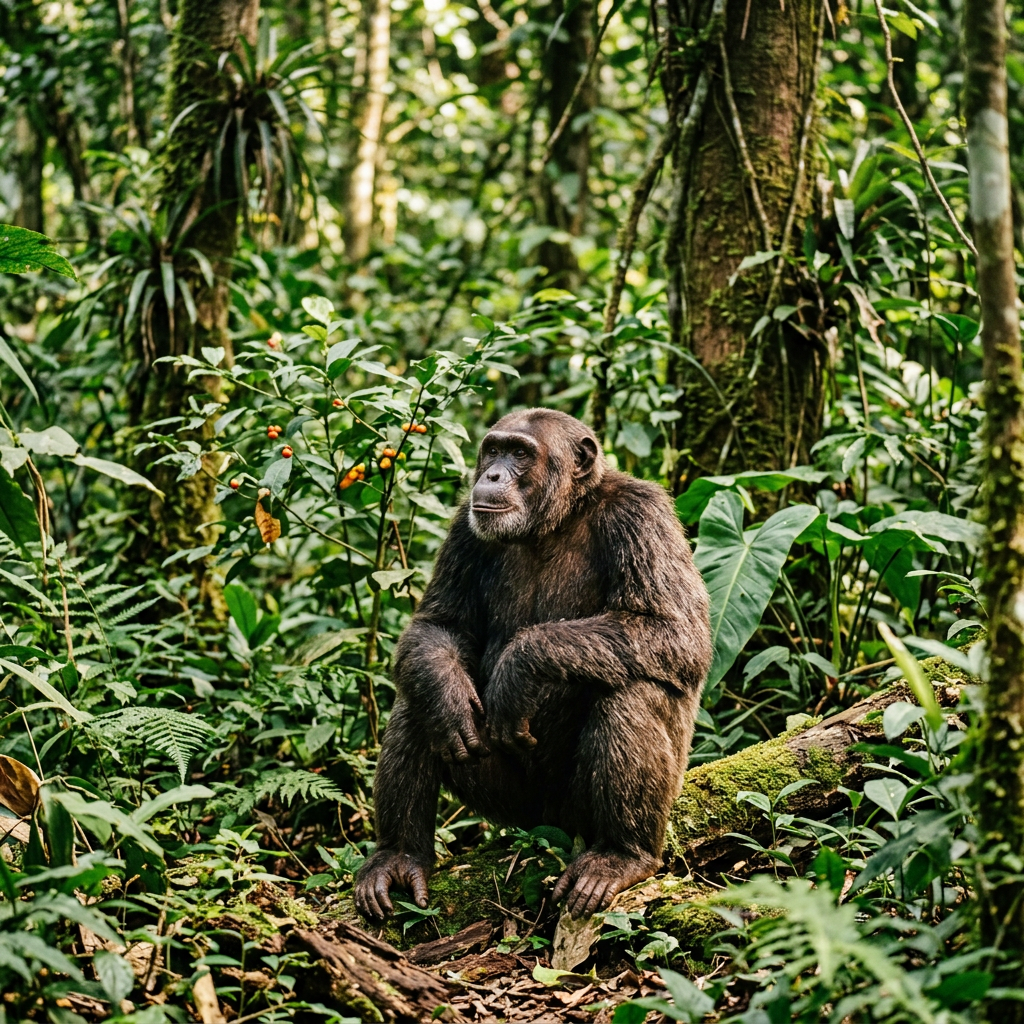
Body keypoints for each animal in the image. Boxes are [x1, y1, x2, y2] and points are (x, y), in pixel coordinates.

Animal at [354, 408, 711, 920]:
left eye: (521, 454)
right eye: (494, 449)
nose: (492, 475)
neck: (555, 522)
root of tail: (549, 822)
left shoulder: (642, 517)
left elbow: (675, 631)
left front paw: (520, 668)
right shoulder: (463, 529)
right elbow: (440, 624)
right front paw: (449, 696)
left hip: (574, 812)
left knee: (634, 691)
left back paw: (622, 855)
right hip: (514, 807)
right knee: (416, 702)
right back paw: (399, 857)